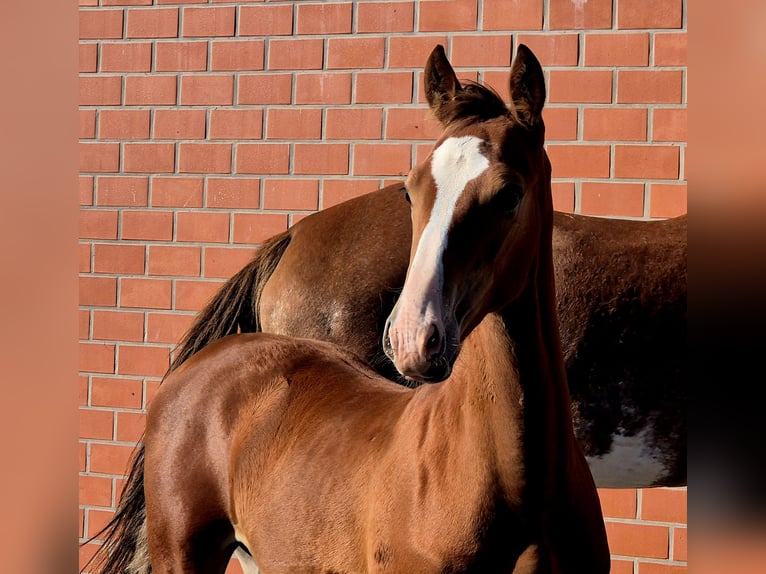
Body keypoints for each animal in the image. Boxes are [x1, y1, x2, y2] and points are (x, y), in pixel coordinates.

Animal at [87, 44, 610, 573]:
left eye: (509, 195)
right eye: (410, 190)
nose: (412, 338)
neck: (518, 484)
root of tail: (198, 364)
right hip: (183, 555)